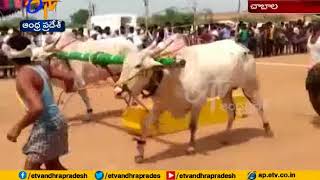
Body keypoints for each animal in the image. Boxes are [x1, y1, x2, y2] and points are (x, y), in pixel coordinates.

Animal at [114, 39, 272, 163]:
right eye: (123, 64)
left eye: (138, 65)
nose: (117, 91)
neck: (170, 74)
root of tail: (242, 47)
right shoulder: (160, 106)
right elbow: (146, 124)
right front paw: (140, 152)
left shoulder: (197, 103)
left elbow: (192, 126)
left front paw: (191, 147)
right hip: (225, 92)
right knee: (231, 113)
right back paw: (226, 137)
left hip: (250, 86)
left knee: (259, 106)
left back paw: (267, 129)